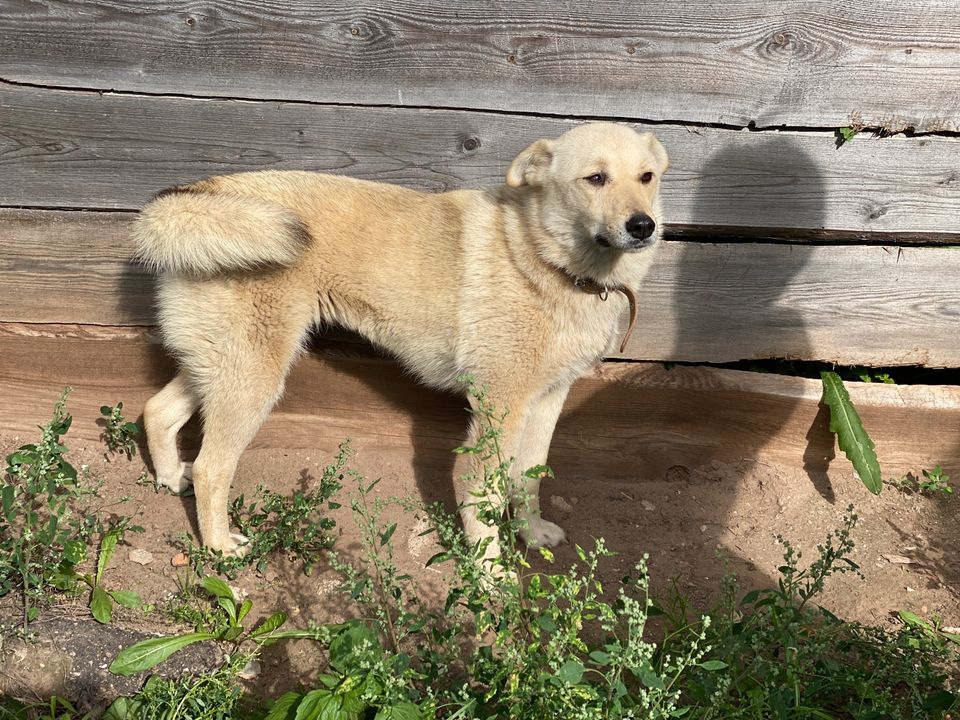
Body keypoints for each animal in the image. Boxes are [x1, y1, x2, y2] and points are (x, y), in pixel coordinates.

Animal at [135, 122, 668, 564]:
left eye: (646, 177)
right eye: (595, 178)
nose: (644, 226)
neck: (544, 257)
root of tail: (204, 192)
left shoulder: (547, 398)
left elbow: (528, 476)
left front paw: (531, 534)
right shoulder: (501, 406)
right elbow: (485, 494)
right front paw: (491, 574)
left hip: (221, 365)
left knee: (156, 411)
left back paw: (170, 478)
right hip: (253, 377)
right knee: (211, 468)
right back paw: (220, 548)